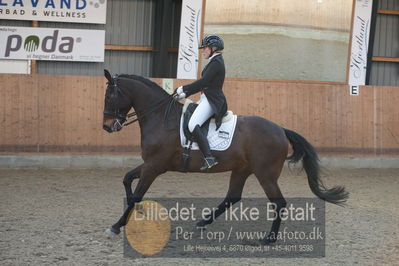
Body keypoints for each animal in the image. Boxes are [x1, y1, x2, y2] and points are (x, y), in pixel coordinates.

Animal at [101, 70, 348, 243]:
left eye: (111, 95)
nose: (107, 127)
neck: (160, 117)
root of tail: (280, 129)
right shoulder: (151, 164)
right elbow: (127, 179)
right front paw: (137, 212)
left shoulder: (154, 166)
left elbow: (136, 195)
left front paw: (115, 226)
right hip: (242, 169)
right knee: (232, 197)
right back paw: (202, 223)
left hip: (265, 174)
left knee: (278, 203)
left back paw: (269, 239)